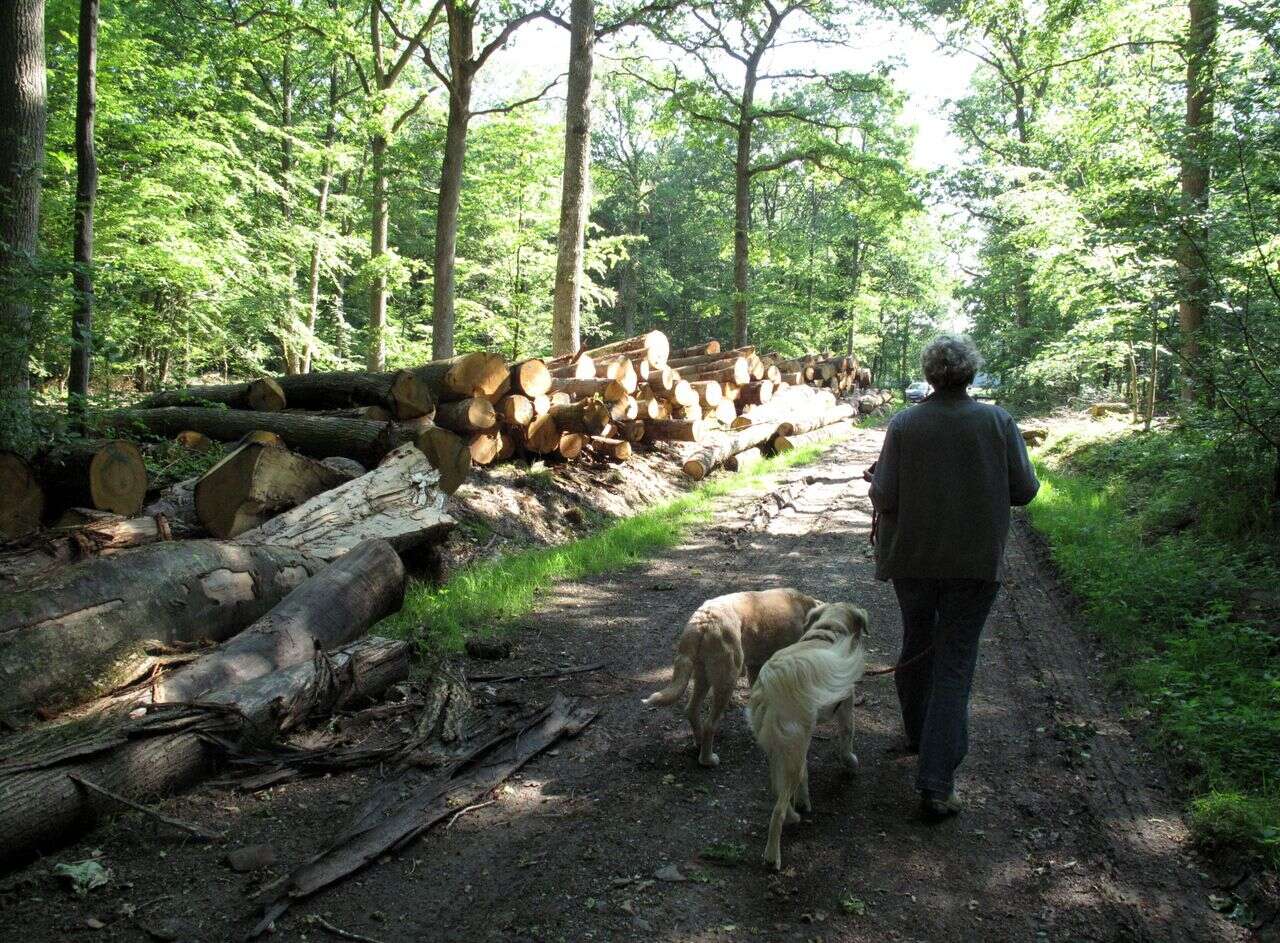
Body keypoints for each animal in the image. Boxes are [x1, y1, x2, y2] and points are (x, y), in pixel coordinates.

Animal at [640, 588, 819, 767]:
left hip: (703, 676)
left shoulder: (755, 667)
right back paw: (708, 759)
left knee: (691, 710)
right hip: (727, 680)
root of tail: (703, 620)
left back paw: (699, 743)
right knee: (710, 724)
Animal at [747, 603, 875, 870]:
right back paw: (773, 855)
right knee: (777, 811)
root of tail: (771, 681)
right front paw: (850, 762)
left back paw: (794, 812)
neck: (829, 630)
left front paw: (803, 800)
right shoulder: (847, 705)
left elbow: (805, 774)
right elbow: (847, 738)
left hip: (779, 746)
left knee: (778, 787)